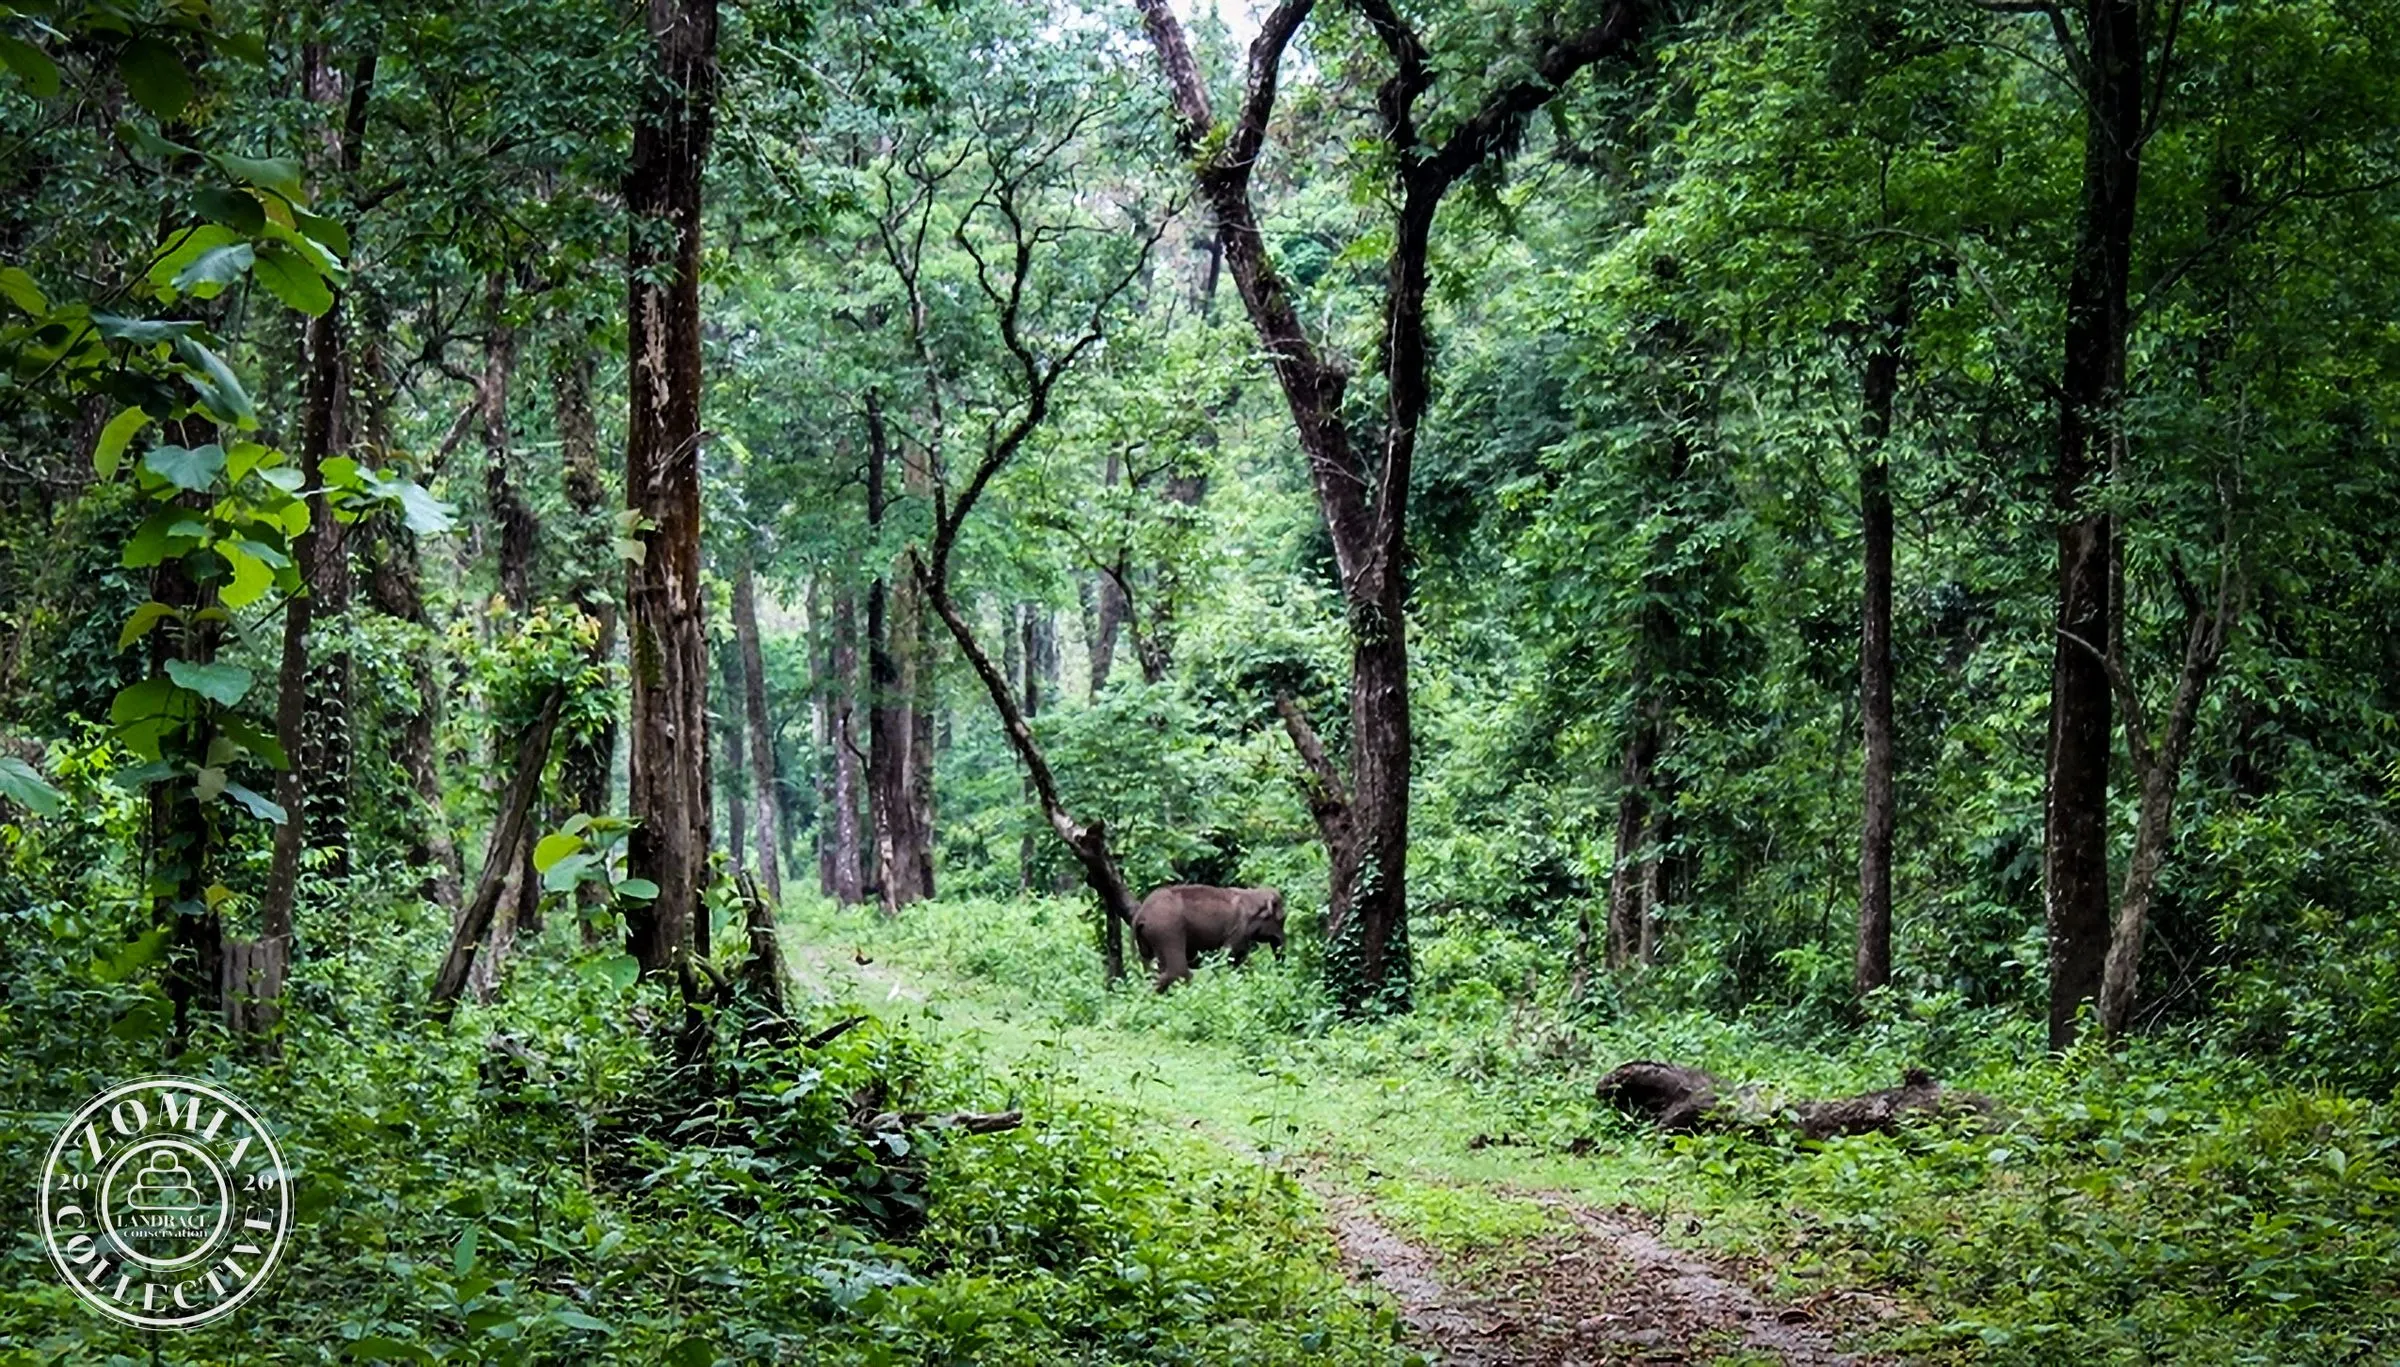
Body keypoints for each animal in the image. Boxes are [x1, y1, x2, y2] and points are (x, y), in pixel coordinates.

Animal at [1130, 884, 1287, 992]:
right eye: (1282, 919)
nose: (1280, 972)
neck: (1253, 895)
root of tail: (1140, 914)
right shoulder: (1238, 929)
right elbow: (1229, 958)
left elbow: (1239, 961)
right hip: (1168, 931)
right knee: (1178, 970)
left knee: (1150, 969)